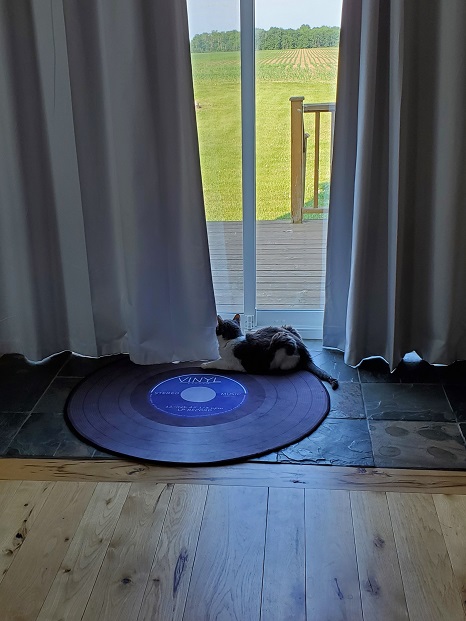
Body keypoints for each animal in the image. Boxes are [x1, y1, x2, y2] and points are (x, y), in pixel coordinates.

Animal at [201, 314, 338, 388]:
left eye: (217, 328)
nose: (214, 328)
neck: (232, 338)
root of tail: (303, 348)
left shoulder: (229, 363)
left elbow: (216, 362)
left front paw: (204, 364)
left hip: (282, 345)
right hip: (288, 327)